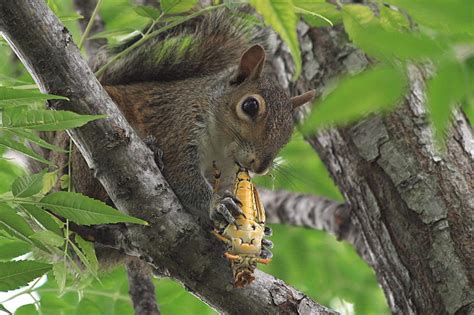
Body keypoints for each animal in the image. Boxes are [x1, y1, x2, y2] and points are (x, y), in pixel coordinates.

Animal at [71, 7, 314, 256]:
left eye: (289, 133)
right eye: (250, 106)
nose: (261, 168)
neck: (221, 146)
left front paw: (260, 241)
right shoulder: (178, 126)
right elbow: (182, 176)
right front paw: (218, 204)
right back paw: (151, 152)